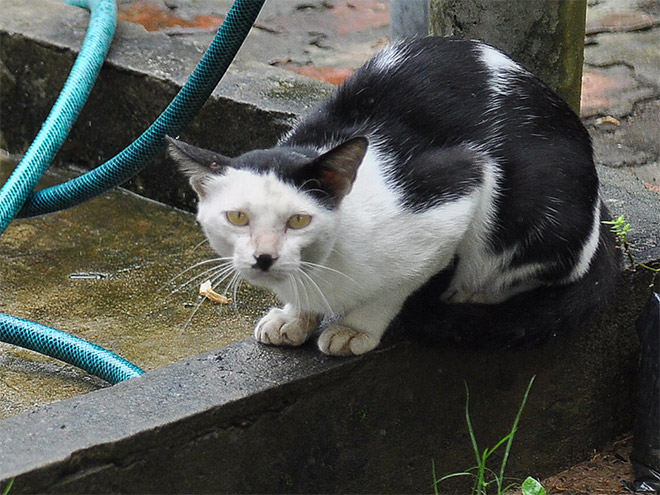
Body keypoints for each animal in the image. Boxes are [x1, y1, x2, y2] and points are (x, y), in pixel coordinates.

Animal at [168, 38, 620, 356]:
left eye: (298, 220)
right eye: (237, 218)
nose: (264, 257)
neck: (323, 267)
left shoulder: (459, 186)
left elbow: (397, 286)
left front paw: (355, 328)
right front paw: (295, 317)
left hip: (540, 199)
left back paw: (468, 294)